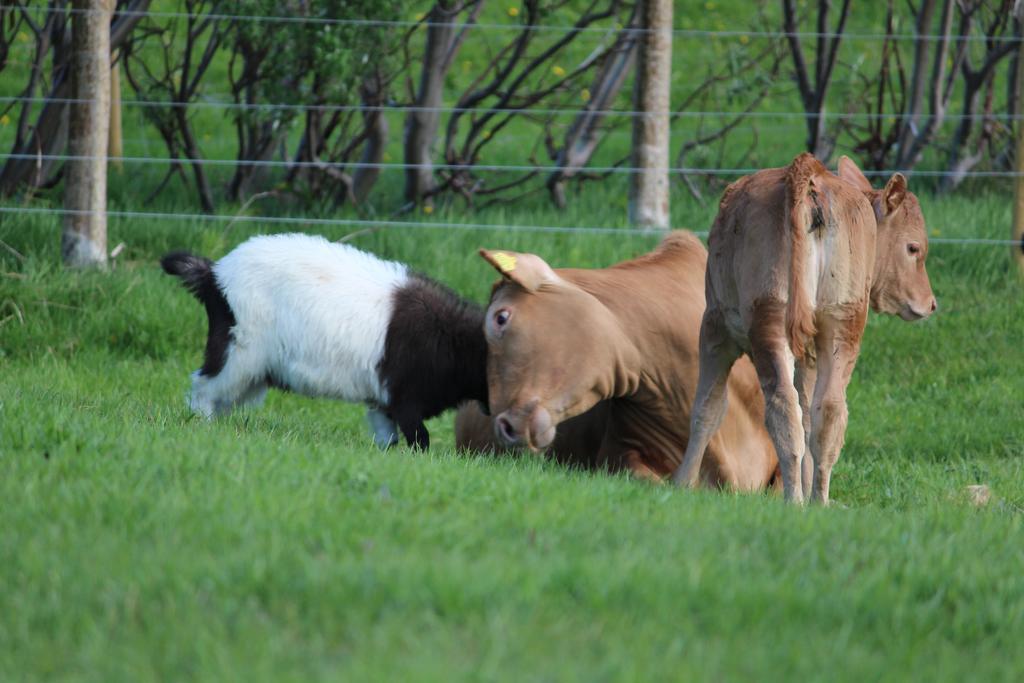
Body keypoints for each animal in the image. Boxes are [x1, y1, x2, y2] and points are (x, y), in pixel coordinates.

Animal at [161, 232, 489, 450]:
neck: (451, 340)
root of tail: (214, 275)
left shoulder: (383, 397)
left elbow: (387, 435)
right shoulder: (404, 394)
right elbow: (419, 438)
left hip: (253, 367)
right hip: (240, 348)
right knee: (205, 386)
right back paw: (203, 425)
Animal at [671, 156, 937, 507]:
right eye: (913, 248)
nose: (931, 303)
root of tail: (809, 173)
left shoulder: (714, 328)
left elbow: (707, 407)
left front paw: (683, 483)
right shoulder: (804, 353)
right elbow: (807, 415)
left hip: (770, 318)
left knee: (783, 406)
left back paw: (794, 500)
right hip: (842, 323)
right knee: (828, 410)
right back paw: (817, 500)